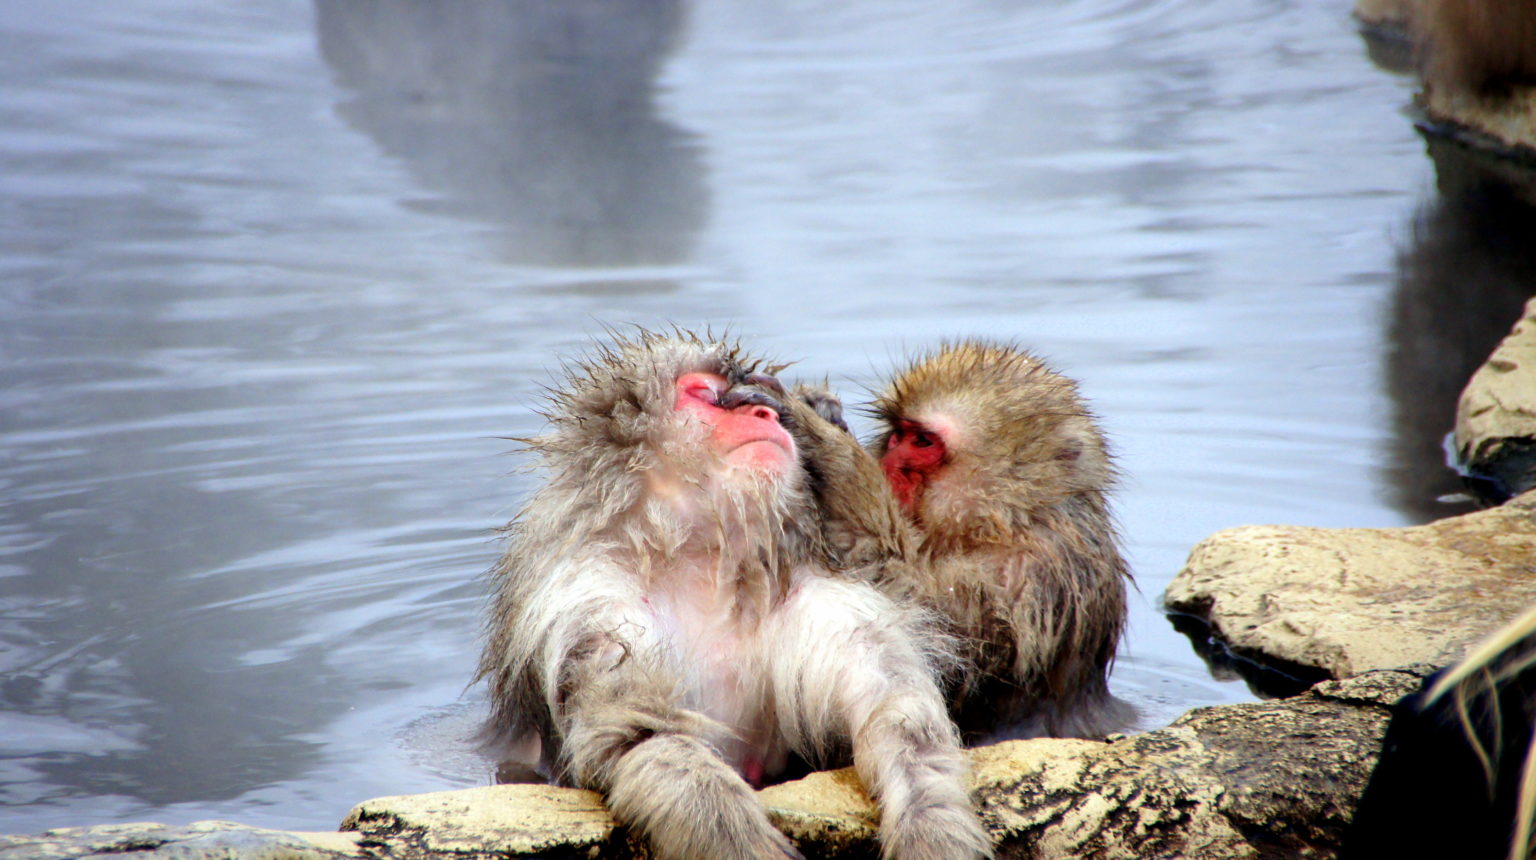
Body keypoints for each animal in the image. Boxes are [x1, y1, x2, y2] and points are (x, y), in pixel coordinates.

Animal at [474, 330, 992, 860]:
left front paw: (930, 829)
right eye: (707, 395)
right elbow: (641, 736)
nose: (764, 414)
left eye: (747, 397)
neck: (710, 567)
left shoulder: (826, 602)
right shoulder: (599, 613)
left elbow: (899, 715)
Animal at [776, 342, 1132, 743]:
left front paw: (831, 452)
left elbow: (935, 629)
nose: (887, 466)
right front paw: (821, 407)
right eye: (897, 435)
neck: (1006, 522)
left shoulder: (1025, 580)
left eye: (922, 442)